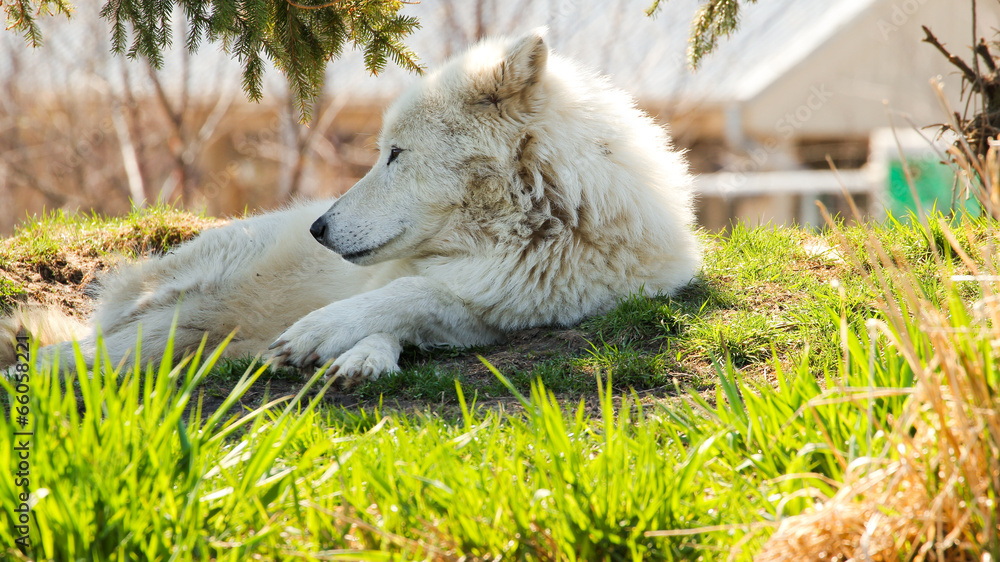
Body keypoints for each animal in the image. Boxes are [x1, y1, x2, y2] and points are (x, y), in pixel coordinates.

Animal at [0, 30, 701, 382]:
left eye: (395, 154)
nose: (319, 227)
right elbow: (393, 294)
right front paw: (336, 341)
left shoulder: (501, 309)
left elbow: (407, 301)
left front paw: (350, 351)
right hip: (178, 301)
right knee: (90, 347)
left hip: (193, 333)